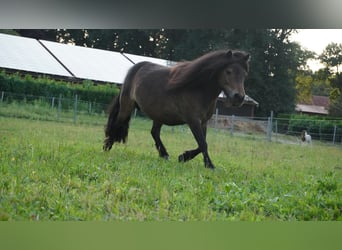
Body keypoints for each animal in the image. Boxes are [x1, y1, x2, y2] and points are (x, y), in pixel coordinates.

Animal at [103, 49, 250, 169]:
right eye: (228, 71)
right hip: (127, 106)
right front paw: (209, 165)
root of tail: (134, 69)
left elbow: (202, 143)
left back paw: (164, 154)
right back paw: (107, 146)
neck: (198, 89)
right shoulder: (193, 121)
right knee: (118, 123)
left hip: (158, 114)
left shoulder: (203, 122)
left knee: (154, 132)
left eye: (244, 74)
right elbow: (203, 143)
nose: (239, 97)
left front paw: (184, 157)